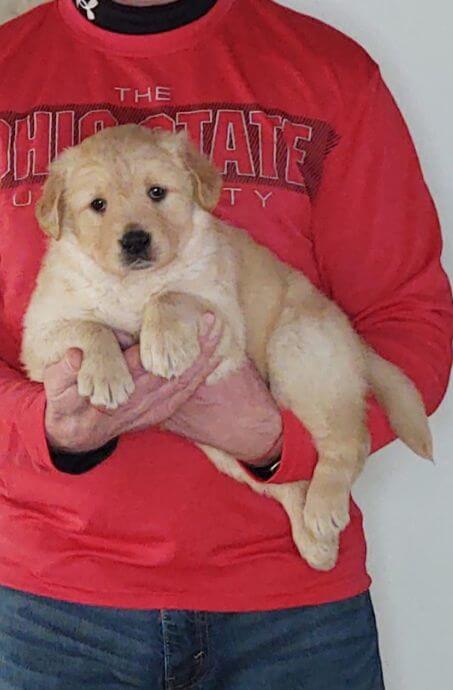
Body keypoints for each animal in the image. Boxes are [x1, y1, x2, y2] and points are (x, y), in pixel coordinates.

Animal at [22, 125, 430, 568]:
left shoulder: (224, 321)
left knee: (351, 440)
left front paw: (163, 343)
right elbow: (89, 326)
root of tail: (354, 341)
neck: (134, 285)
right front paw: (106, 374)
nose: (135, 241)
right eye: (98, 205)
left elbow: (171, 296)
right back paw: (317, 544)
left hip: (300, 352)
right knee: (285, 482)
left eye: (156, 192)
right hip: (226, 448)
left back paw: (323, 510)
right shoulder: (39, 332)